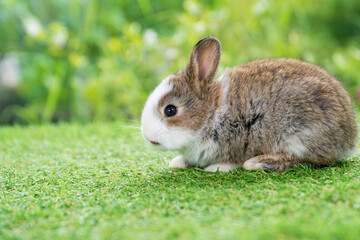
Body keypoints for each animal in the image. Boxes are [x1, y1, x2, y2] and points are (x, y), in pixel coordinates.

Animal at [141, 35, 358, 172]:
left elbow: (232, 159)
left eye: (170, 110)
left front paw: (217, 168)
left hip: (300, 133)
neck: (211, 114)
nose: (147, 137)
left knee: (310, 160)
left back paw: (258, 163)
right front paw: (178, 162)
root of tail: (349, 136)